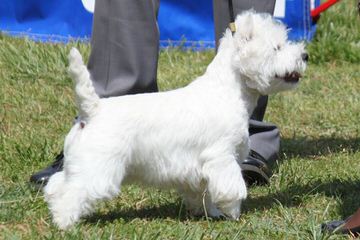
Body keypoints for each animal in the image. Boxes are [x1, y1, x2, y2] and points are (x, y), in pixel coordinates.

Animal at [44, 11, 306, 229]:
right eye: (277, 47)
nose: (305, 55)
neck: (228, 90)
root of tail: (92, 111)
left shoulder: (197, 169)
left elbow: (202, 193)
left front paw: (209, 212)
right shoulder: (221, 156)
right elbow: (230, 188)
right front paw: (232, 213)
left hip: (80, 165)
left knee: (57, 185)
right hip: (99, 169)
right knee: (72, 192)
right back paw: (64, 223)